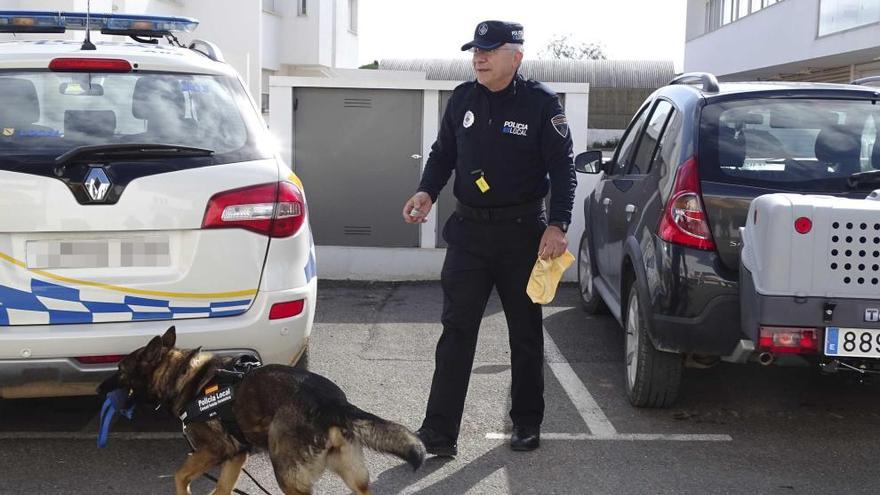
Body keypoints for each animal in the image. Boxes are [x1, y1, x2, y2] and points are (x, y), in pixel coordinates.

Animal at [103, 328, 426, 494]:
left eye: (120, 369)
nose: (100, 388)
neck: (182, 374)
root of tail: (334, 402)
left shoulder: (214, 450)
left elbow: (180, 476)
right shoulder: (236, 456)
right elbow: (220, 490)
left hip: (286, 473)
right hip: (353, 475)